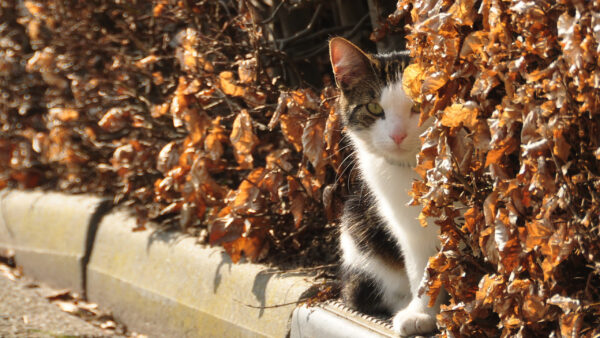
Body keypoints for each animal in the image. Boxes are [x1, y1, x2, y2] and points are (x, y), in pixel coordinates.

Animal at [326, 37, 442, 336]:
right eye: (374, 108)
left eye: (419, 105)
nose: (397, 135)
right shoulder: (409, 227)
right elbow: (423, 267)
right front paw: (421, 313)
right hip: (356, 225)